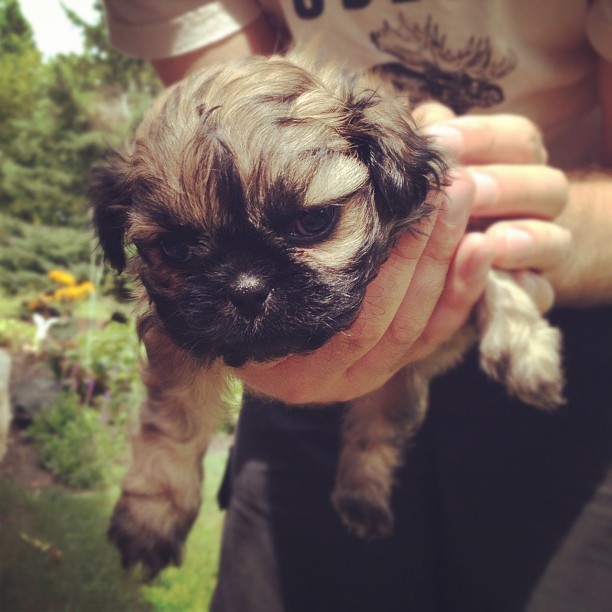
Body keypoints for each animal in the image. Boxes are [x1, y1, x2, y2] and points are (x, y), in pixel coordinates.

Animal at [91, 52, 564, 580]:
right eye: (176, 249)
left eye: (312, 222)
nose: (247, 289)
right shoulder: (177, 333)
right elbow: (173, 422)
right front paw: (152, 514)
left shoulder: (462, 221)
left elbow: (497, 263)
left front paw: (527, 350)